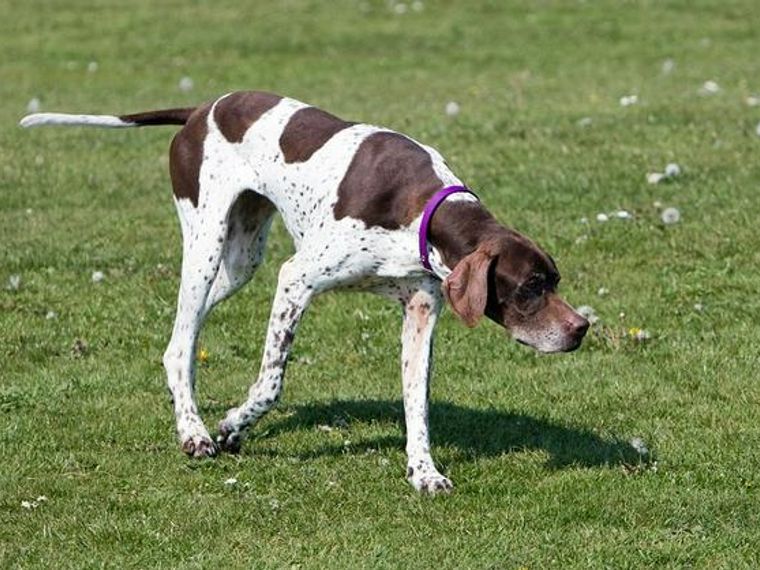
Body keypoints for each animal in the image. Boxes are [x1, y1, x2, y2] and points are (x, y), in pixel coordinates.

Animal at [19, 91, 588, 490]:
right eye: (531, 287)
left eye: (554, 281)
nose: (581, 328)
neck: (422, 209)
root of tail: (202, 108)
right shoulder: (296, 279)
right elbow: (271, 383)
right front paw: (233, 425)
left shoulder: (422, 312)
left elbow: (417, 403)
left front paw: (424, 472)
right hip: (205, 246)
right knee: (181, 344)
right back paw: (194, 432)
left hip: (239, 264)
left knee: (180, 337)